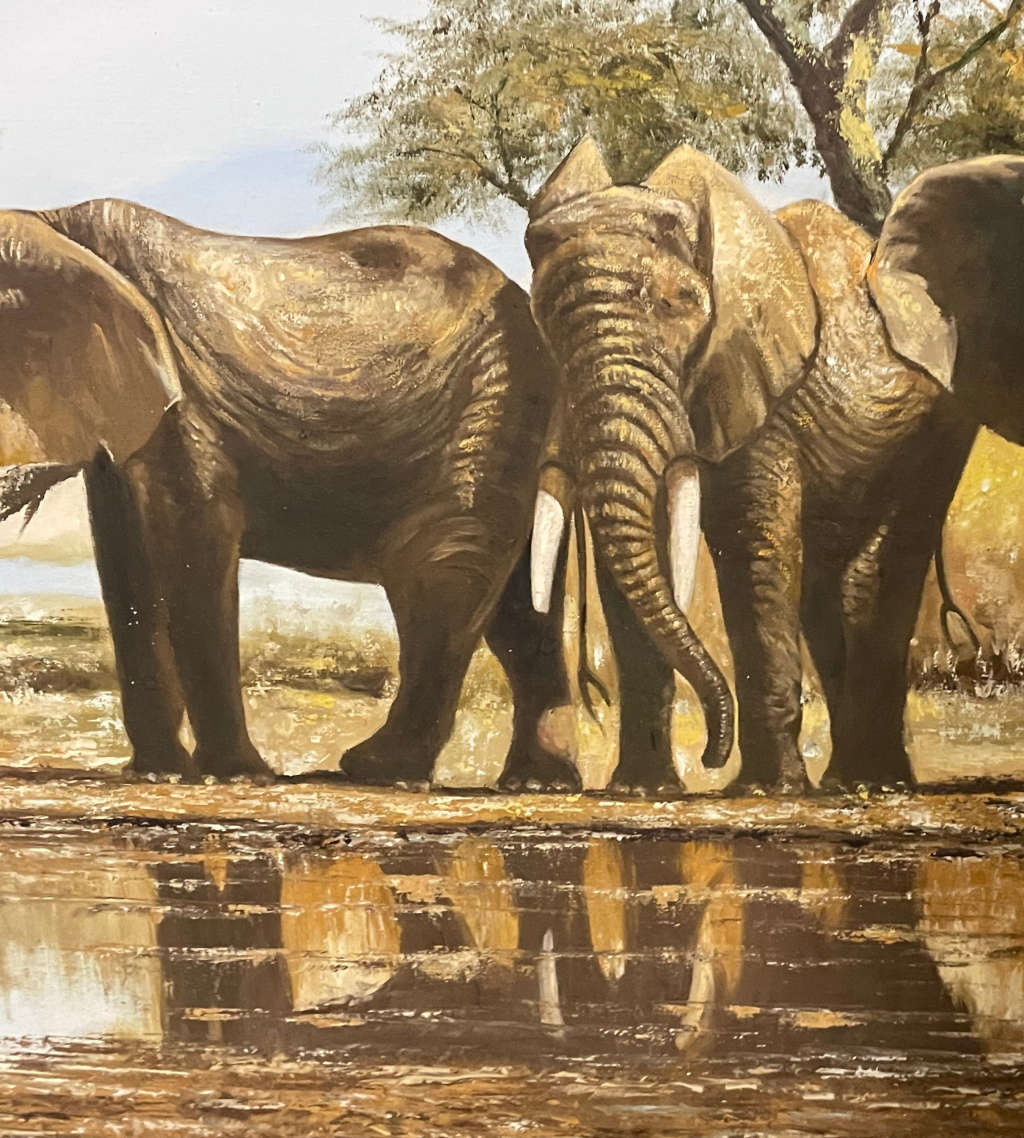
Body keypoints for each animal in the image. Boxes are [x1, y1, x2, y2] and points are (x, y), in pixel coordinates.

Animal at [0, 200, 578, 789]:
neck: (52, 222)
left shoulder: (185, 408)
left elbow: (193, 543)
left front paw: (234, 777)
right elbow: (124, 560)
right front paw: (158, 775)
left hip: (486, 406)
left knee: (445, 572)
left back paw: (375, 770)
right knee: (517, 601)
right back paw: (538, 783)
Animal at [525, 139, 983, 793]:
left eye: (681, 305)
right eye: (543, 318)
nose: (710, 754)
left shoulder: (764, 388)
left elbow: (752, 544)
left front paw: (767, 789)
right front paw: (643, 790)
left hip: (945, 418)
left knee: (881, 567)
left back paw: (871, 783)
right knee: (827, 583)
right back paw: (848, 780)